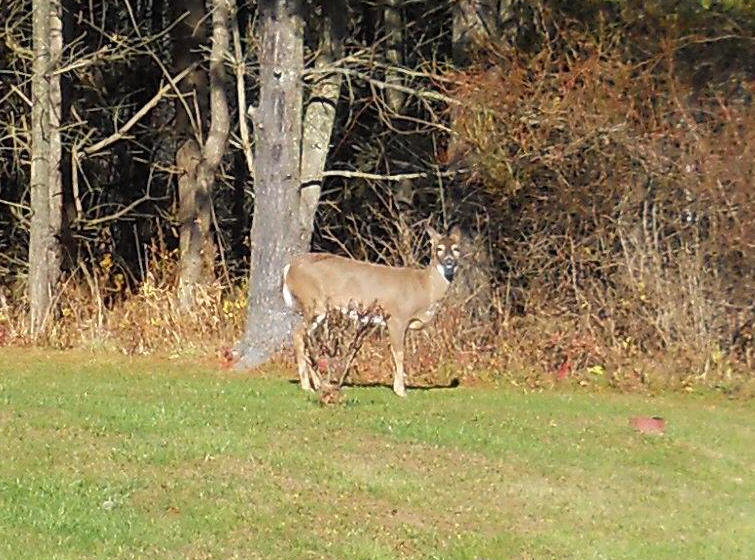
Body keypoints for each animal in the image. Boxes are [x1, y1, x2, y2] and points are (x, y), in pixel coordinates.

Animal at [282, 226, 462, 397]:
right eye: (438, 248)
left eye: (456, 248)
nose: (449, 261)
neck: (424, 287)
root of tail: (288, 268)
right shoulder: (397, 317)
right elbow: (399, 353)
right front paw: (401, 391)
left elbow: (393, 353)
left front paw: (397, 387)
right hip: (313, 303)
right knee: (298, 334)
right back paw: (307, 386)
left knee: (306, 338)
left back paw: (318, 384)